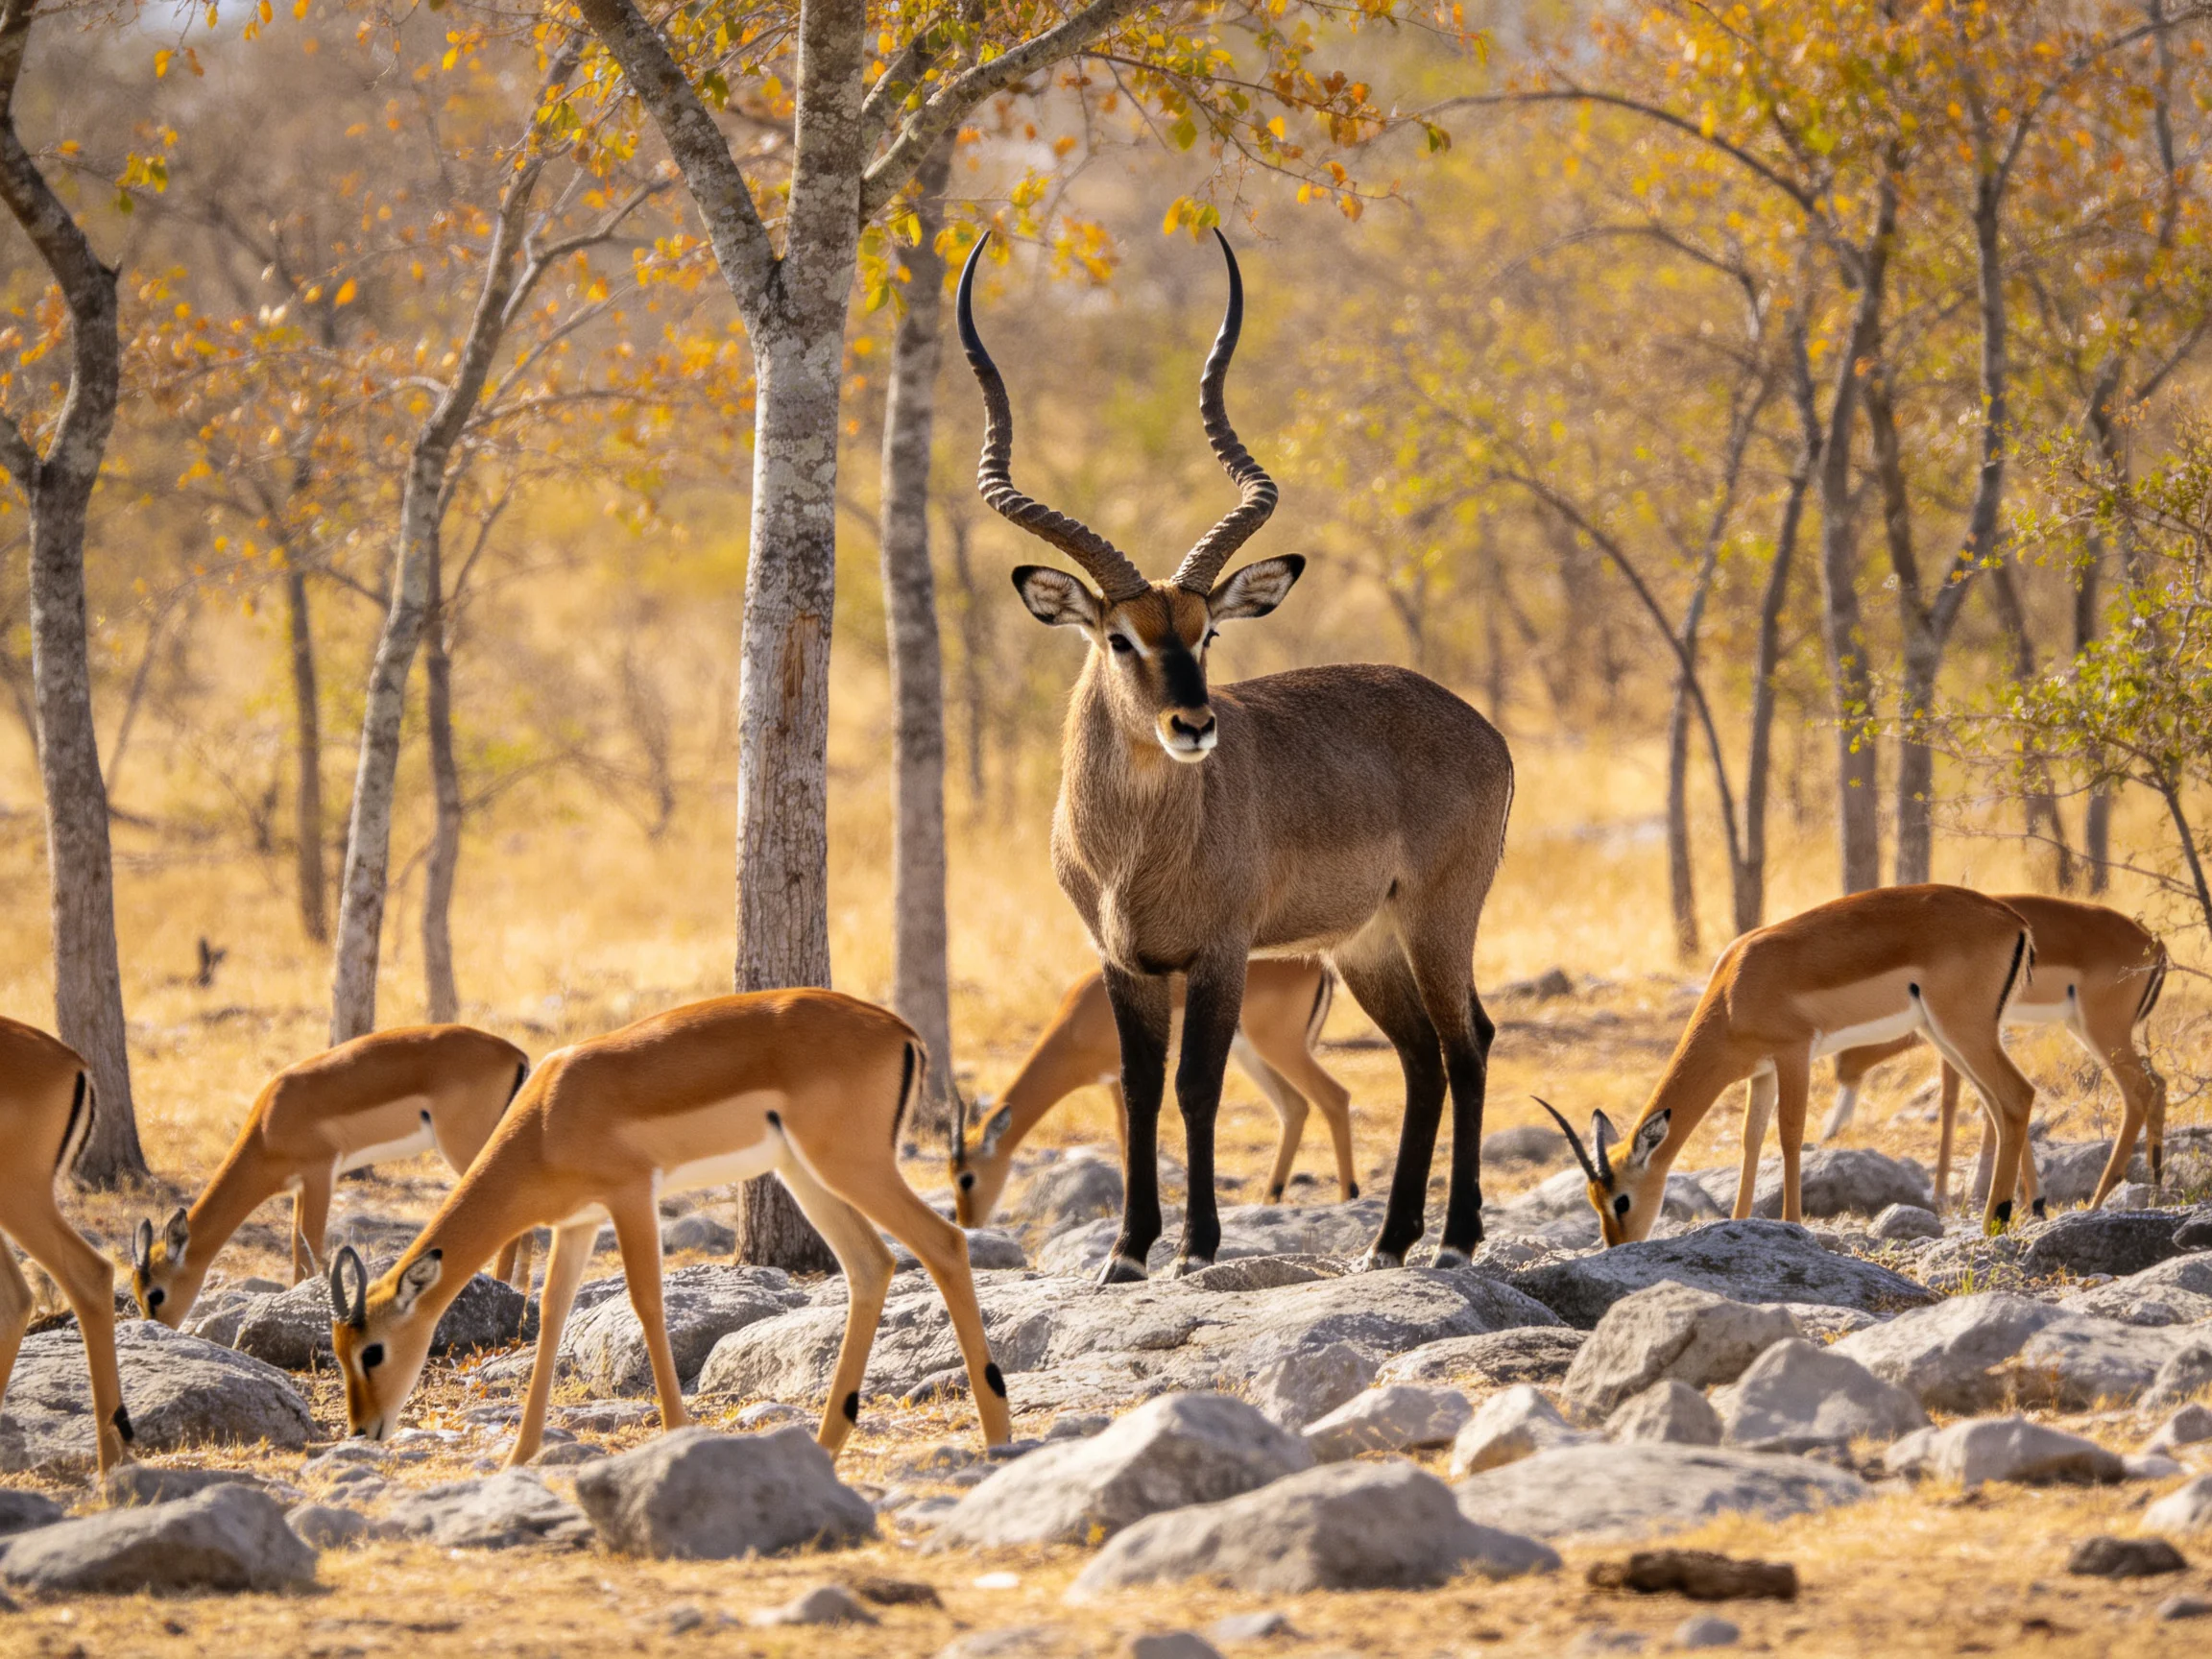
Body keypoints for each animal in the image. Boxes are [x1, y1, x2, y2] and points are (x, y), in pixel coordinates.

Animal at [131, 1024, 535, 1328]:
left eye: (157, 1293)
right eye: (137, 1293)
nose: (158, 1328)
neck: (268, 1123)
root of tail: (516, 1054)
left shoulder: (320, 1173)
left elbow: (309, 1244)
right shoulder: (299, 1186)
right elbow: (298, 1243)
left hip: (467, 1148)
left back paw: (503, 1283)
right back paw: (521, 1293)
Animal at [325, 991, 1009, 1464]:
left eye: (372, 1350)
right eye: (338, 1351)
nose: (364, 1430)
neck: (548, 1113)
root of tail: (900, 1031)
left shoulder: (632, 1196)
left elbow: (648, 1302)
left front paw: (679, 1433)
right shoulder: (577, 1224)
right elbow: (551, 1314)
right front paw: (519, 1456)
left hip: (850, 1165)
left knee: (943, 1241)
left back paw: (998, 1432)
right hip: (805, 1172)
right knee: (872, 1262)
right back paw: (825, 1442)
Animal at [950, 957, 1356, 1228]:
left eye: (967, 1177)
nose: (969, 1225)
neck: (1078, 1021)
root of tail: (1319, 966)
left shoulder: (1122, 1078)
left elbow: (1125, 1136)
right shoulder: (1115, 1081)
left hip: (1279, 1048)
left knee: (1335, 1096)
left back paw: (1348, 1196)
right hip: (1252, 1055)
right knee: (1295, 1106)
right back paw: (1269, 1198)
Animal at [1537, 885, 2040, 1243]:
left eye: (1621, 1200)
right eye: (1592, 1200)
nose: (1617, 1246)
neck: (1734, 988)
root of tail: (2013, 920)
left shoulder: (1794, 1053)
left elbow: (1791, 1134)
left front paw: (1793, 1223)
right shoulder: (1761, 1071)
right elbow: (1751, 1139)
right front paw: (1739, 1221)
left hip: (1963, 1031)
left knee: (2019, 1095)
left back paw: (1995, 1223)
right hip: (1946, 1036)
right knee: (1999, 1109)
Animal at [1820, 893, 2167, 1213]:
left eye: (1839, 1066)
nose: (1829, 1131)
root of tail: (2156, 947)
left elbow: (1951, 1105)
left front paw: (1945, 1195)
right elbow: (1986, 1107)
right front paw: (2031, 1201)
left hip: (2102, 1031)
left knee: (2139, 1090)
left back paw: (2099, 1199)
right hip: (2088, 1029)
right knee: (2158, 1083)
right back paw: (2154, 1184)